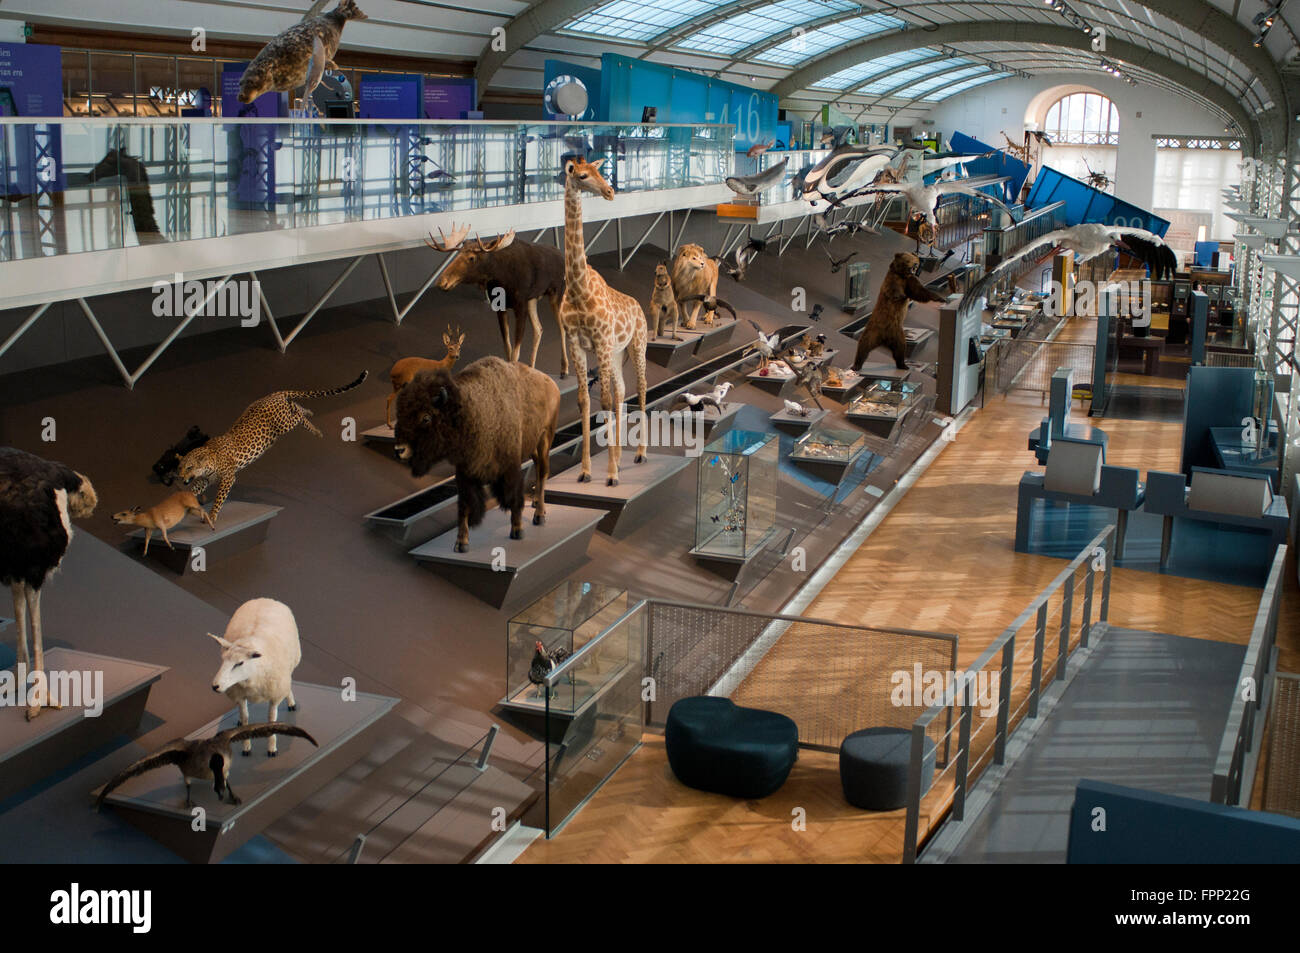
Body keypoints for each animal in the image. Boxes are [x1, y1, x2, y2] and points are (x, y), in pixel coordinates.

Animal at [175, 369, 369, 520]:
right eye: (180, 468)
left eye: (189, 467)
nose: (182, 478)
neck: (208, 461)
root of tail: (273, 394)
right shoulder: (204, 480)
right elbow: (193, 490)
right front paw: (183, 499)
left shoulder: (228, 478)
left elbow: (219, 499)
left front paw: (213, 515)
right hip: (285, 416)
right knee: (295, 405)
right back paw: (311, 417)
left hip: (284, 424)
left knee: (297, 413)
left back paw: (312, 423)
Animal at [206, 595, 300, 759]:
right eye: (223, 659)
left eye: (240, 663)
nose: (215, 686)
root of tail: (264, 598)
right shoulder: (239, 695)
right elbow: (245, 719)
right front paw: (246, 747)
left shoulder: (274, 694)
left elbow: (271, 719)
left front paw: (272, 748)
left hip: (290, 665)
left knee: (288, 683)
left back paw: (291, 703)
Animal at [392, 356, 561, 551]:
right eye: (400, 415)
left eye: (426, 417)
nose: (399, 450)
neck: (471, 410)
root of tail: (551, 383)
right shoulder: (465, 472)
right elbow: (464, 505)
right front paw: (461, 543)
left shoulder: (510, 468)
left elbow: (513, 497)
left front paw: (517, 531)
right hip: (532, 445)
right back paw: (536, 504)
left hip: (545, 439)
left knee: (543, 473)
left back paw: (539, 515)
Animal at [426, 222, 569, 371]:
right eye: (457, 254)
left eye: (472, 257)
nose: (441, 281)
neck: (500, 277)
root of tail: (562, 255)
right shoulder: (500, 307)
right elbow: (508, 348)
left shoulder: (520, 306)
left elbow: (515, 353)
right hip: (533, 299)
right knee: (539, 329)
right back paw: (532, 367)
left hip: (557, 294)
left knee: (562, 328)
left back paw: (564, 367)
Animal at [559, 157, 650, 483]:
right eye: (584, 175)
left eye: (601, 170)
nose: (610, 191)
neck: (579, 288)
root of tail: (639, 306)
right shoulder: (576, 342)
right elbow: (585, 401)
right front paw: (586, 471)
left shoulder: (600, 341)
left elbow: (606, 401)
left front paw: (610, 475)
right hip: (617, 353)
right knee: (623, 391)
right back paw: (621, 456)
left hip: (637, 345)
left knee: (641, 387)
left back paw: (639, 454)